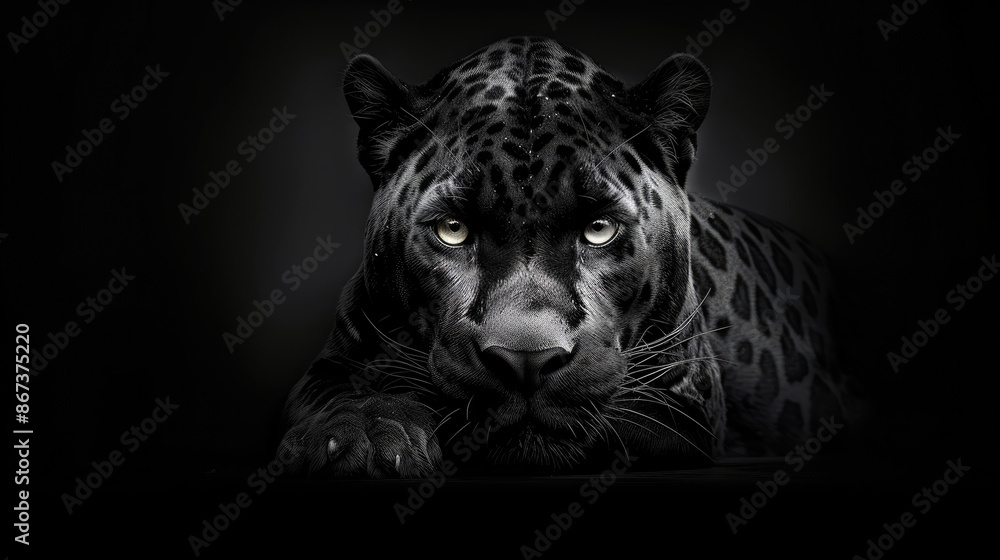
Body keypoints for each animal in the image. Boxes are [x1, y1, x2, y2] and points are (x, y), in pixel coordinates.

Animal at [278, 36, 865, 477]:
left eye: (599, 230)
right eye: (452, 230)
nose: (526, 361)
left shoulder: (686, 398)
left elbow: (613, 418)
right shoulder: (334, 360)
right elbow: (334, 396)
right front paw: (364, 437)